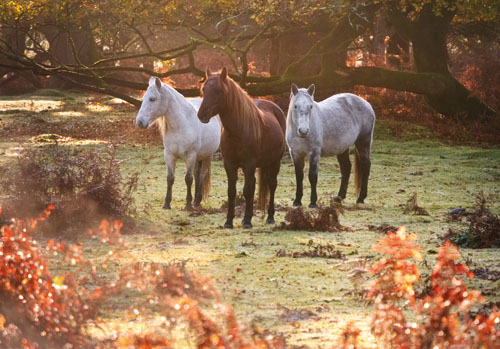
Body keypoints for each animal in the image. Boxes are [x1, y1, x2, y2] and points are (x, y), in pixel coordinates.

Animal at [137, 77, 223, 208]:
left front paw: (187, 204)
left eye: (152, 99)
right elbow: (170, 178)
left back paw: (196, 201)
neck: (181, 125)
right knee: (197, 174)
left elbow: (188, 178)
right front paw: (167, 203)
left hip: (207, 156)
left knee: (202, 174)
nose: (140, 122)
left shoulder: (191, 156)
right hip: (198, 158)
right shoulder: (169, 156)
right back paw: (196, 200)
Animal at [198, 67, 286, 228]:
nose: (201, 115)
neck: (237, 131)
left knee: (272, 185)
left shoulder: (249, 164)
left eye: (219, 90)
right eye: (204, 89)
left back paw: (270, 217)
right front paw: (229, 221)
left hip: (275, 162)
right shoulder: (229, 164)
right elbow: (232, 191)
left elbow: (247, 191)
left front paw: (246, 221)